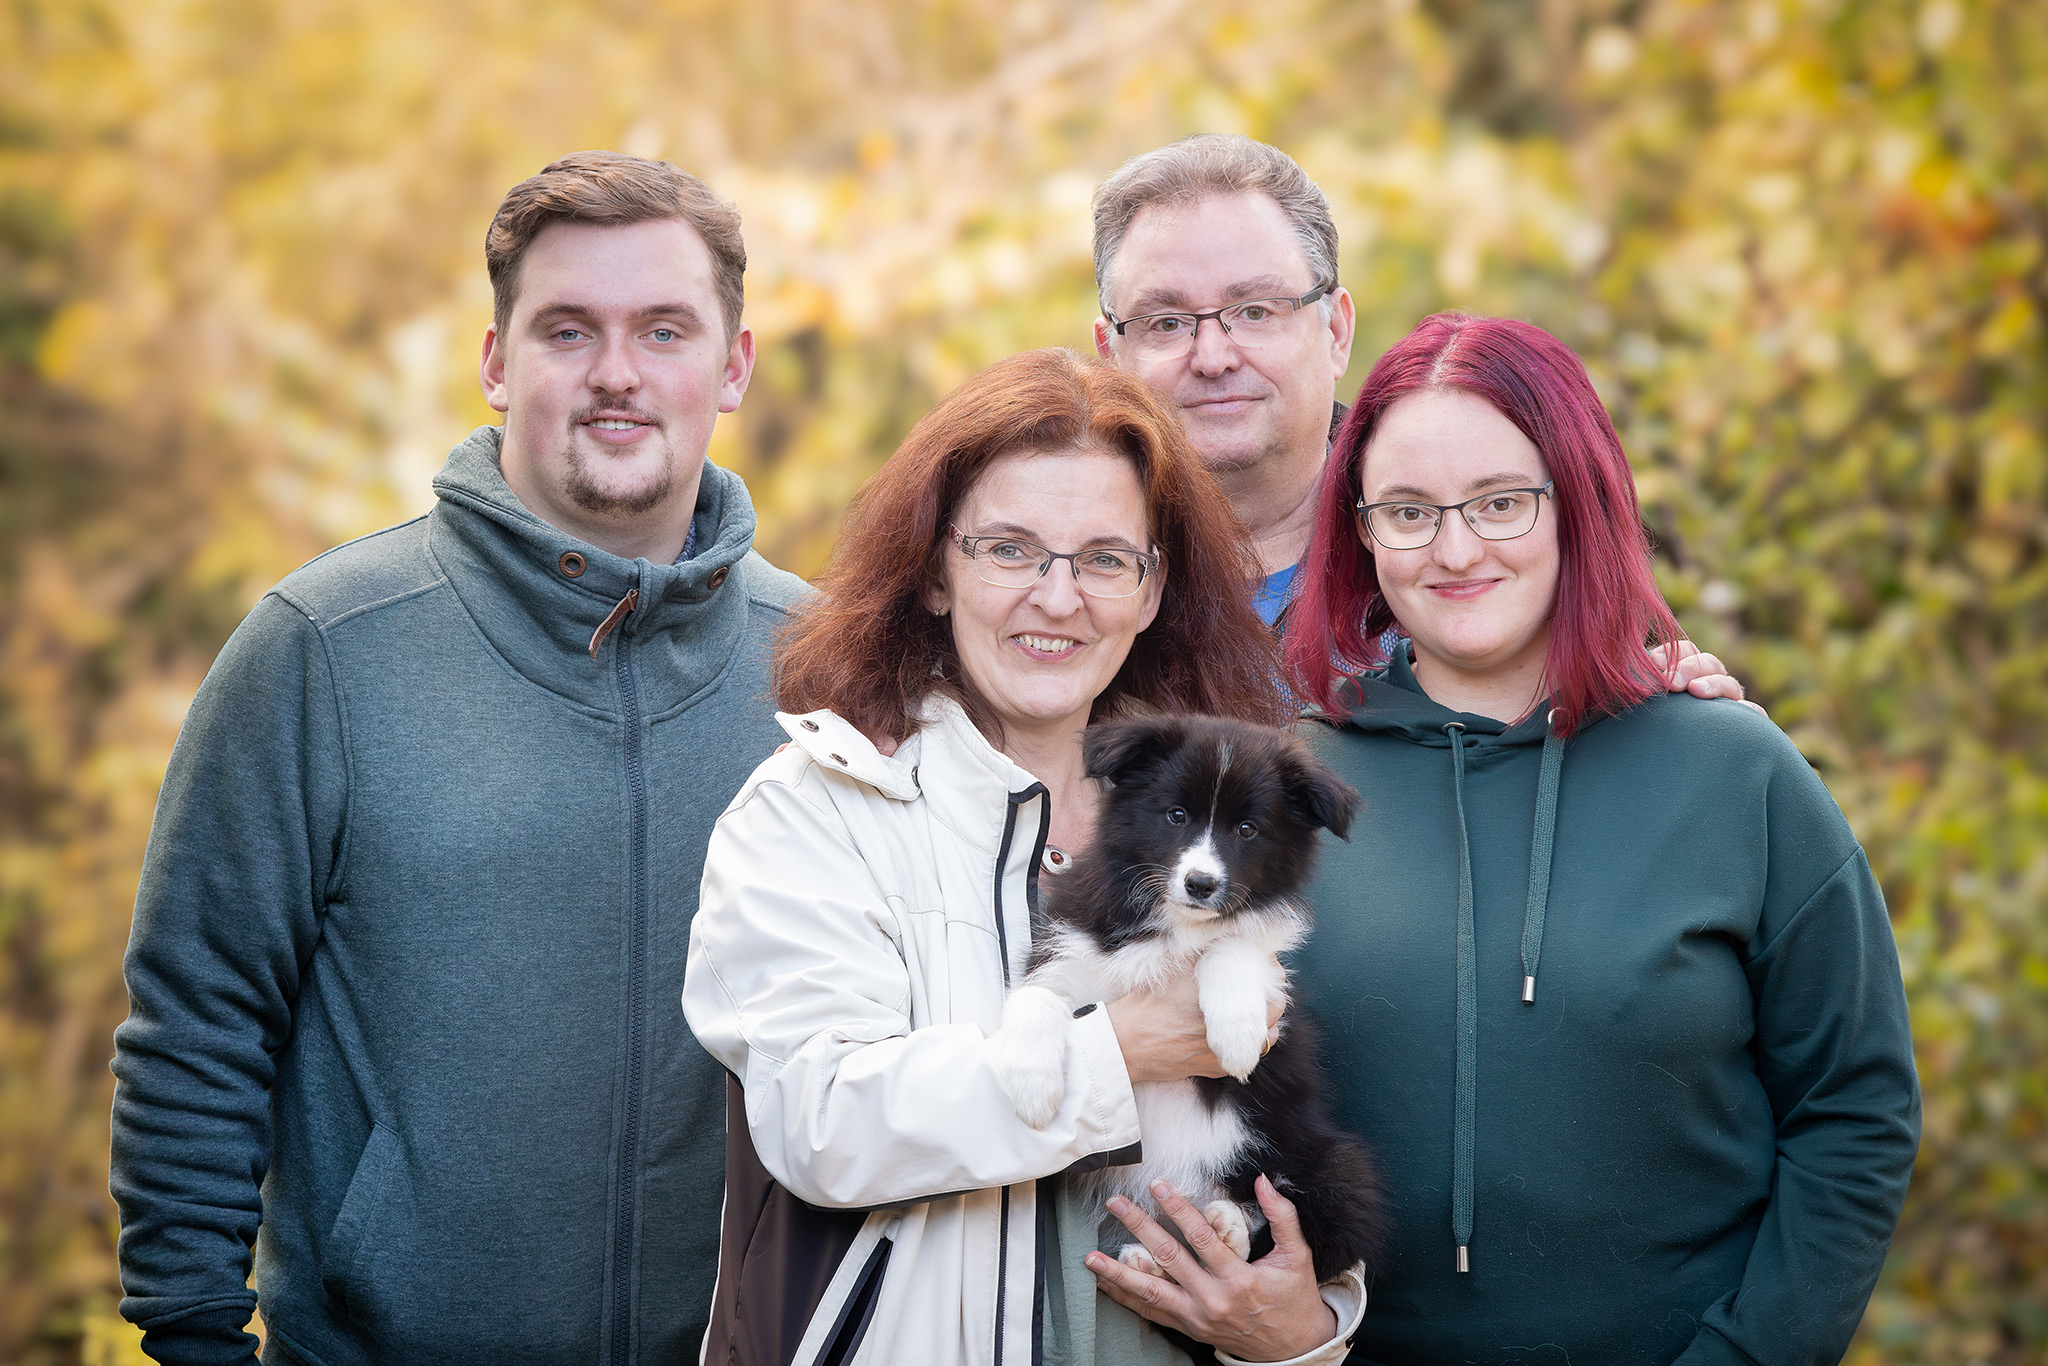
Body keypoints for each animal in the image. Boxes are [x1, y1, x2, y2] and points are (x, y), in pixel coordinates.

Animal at [987, 712, 1376, 1286]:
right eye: (1175, 815)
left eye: (1247, 830)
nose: (1200, 884)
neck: (1176, 927)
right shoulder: (1074, 948)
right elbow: (1036, 994)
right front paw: (1033, 1086)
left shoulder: (1265, 967)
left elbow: (1232, 945)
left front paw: (1236, 1035)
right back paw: (1146, 1255)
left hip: (1333, 1166)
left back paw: (1226, 1226)